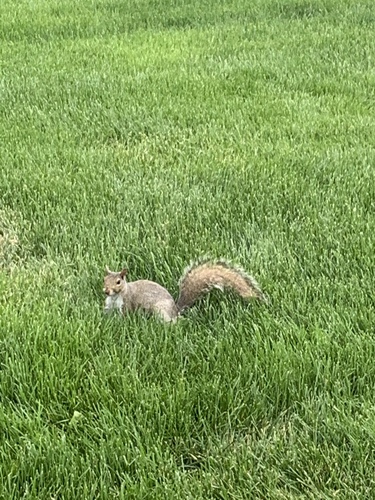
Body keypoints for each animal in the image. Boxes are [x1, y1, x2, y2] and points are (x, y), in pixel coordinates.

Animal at [103, 258, 268, 324]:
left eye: (118, 282)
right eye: (104, 279)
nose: (106, 291)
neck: (116, 296)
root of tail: (175, 310)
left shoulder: (127, 303)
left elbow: (125, 316)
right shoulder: (109, 305)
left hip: (159, 310)